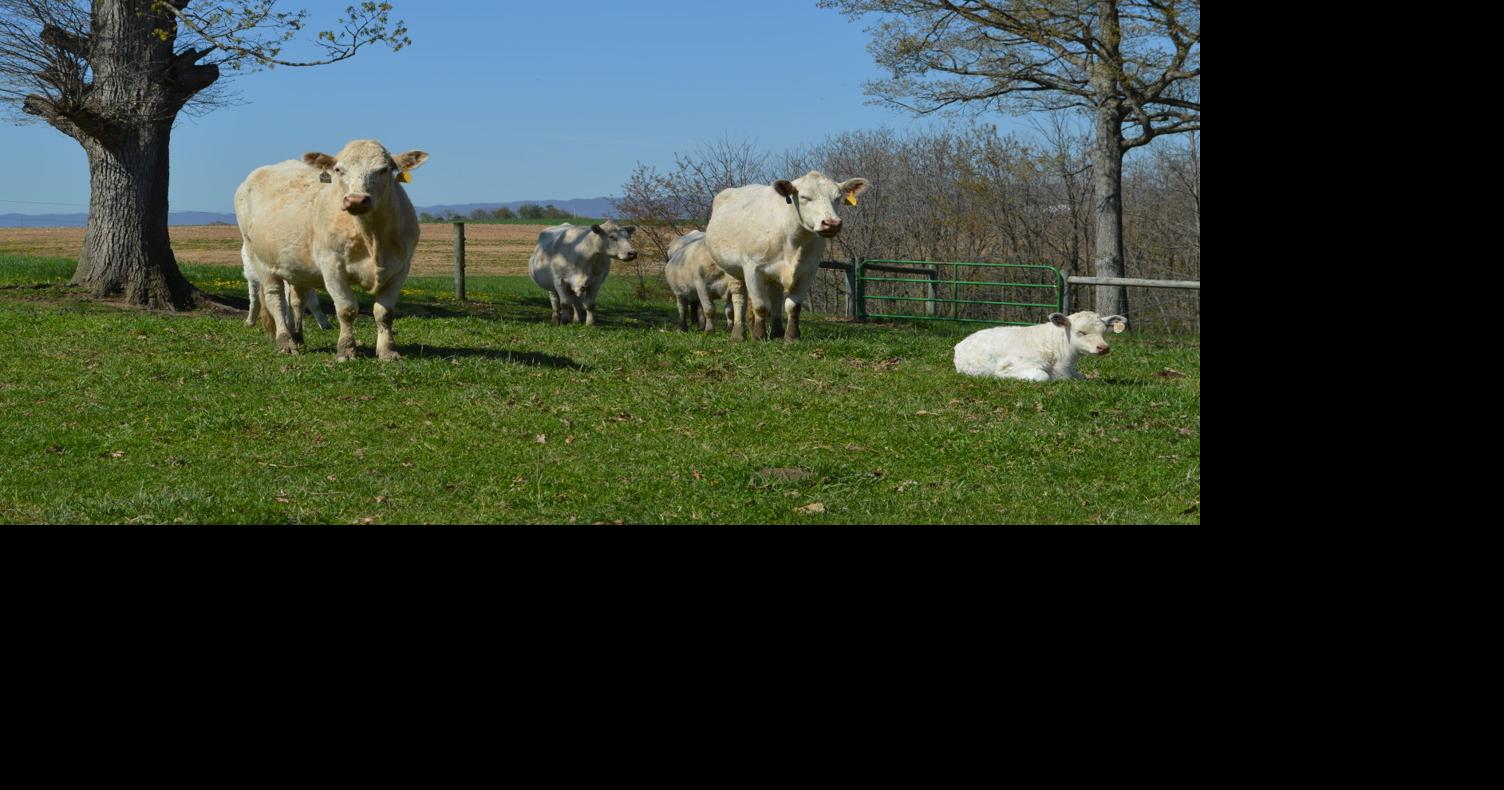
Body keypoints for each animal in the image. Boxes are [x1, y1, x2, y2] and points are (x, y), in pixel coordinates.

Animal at [235, 139, 428, 361]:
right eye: (338, 169)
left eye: (384, 169)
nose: (356, 200)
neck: (372, 237)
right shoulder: (332, 266)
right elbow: (346, 309)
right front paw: (346, 350)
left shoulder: (400, 268)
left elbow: (384, 312)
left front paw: (388, 351)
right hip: (260, 261)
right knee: (275, 299)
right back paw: (286, 342)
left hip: (297, 267)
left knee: (297, 300)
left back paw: (298, 337)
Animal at [704, 171, 868, 342]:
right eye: (804, 197)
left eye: (837, 197)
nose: (832, 224)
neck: (793, 239)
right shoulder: (752, 268)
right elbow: (760, 306)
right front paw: (759, 336)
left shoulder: (808, 270)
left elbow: (792, 306)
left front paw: (791, 336)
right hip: (732, 270)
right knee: (739, 298)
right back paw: (738, 334)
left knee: (775, 299)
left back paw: (777, 332)